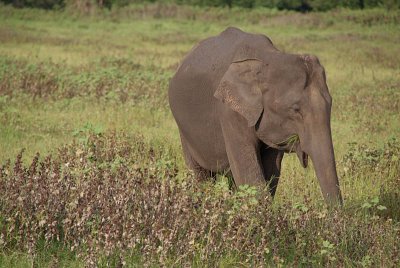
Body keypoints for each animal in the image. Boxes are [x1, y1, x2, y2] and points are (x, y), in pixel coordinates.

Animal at [170, 26, 344, 205]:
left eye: (331, 104)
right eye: (295, 109)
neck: (267, 58)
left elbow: (271, 170)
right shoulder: (230, 112)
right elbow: (250, 175)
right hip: (184, 131)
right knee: (201, 176)